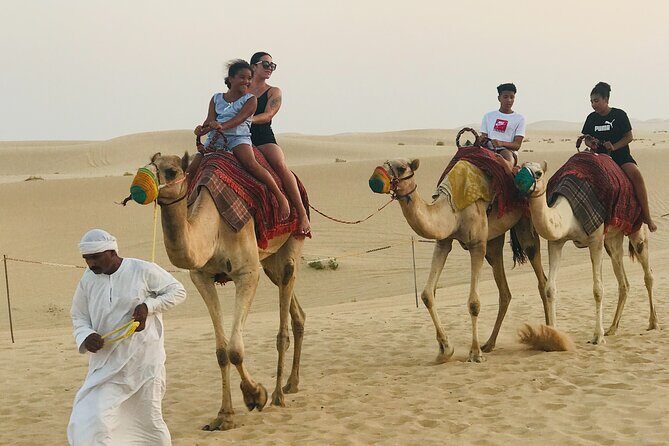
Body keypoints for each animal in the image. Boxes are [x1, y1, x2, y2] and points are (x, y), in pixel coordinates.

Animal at [143, 152, 305, 430]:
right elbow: (221, 352)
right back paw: (291, 384)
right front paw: (224, 416)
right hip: (269, 261)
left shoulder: (247, 273)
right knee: (297, 312)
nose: (143, 187)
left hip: (291, 243)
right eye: (148, 165)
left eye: (172, 171)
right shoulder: (201, 277)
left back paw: (278, 394)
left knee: (284, 317)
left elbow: (235, 350)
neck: (214, 227)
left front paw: (255, 395)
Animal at [370, 158, 549, 362]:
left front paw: (475, 353)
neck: (451, 209)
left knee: (540, 277)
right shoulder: (443, 242)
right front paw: (445, 350)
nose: (375, 178)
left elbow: (474, 303)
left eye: (401, 168)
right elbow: (427, 294)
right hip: (494, 241)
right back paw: (489, 344)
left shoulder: (477, 244)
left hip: (525, 223)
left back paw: (549, 335)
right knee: (505, 291)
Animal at [518, 160, 658, 344]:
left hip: (636, 229)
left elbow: (598, 290)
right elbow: (550, 289)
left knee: (648, 274)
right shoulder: (556, 242)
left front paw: (597, 336)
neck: (569, 214)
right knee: (623, 281)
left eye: (538, 173)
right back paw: (612, 328)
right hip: (612, 238)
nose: (519, 181)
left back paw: (653, 322)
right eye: (520, 168)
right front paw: (553, 335)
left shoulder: (595, 239)